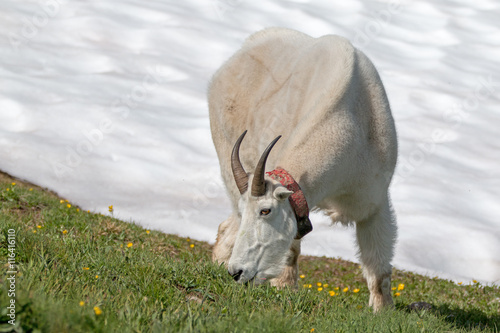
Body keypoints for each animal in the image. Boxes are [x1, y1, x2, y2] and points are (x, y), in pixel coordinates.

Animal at [207, 27, 398, 310]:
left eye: (266, 210)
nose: (237, 272)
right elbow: (291, 251)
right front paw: (285, 289)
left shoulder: (374, 202)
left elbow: (379, 268)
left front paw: (382, 311)